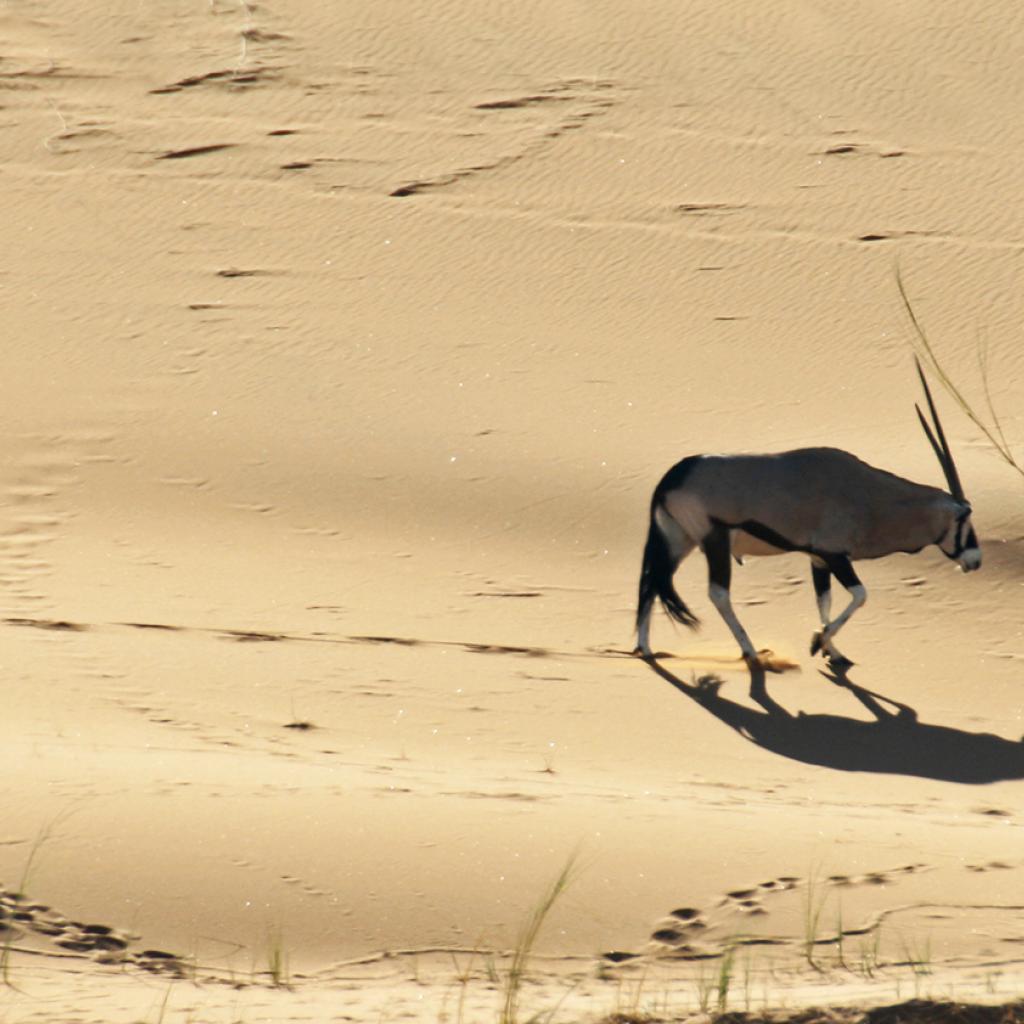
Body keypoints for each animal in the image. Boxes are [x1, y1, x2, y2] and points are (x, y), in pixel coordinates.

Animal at [634, 364, 978, 667]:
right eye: (965, 518)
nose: (975, 561)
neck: (871, 496)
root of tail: (672, 477)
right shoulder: (834, 554)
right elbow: (860, 595)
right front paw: (817, 643)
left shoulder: (819, 559)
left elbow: (824, 601)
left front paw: (832, 651)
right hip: (713, 540)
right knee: (717, 593)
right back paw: (751, 652)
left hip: (679, 541)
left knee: (654, 579)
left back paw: (645, 647)